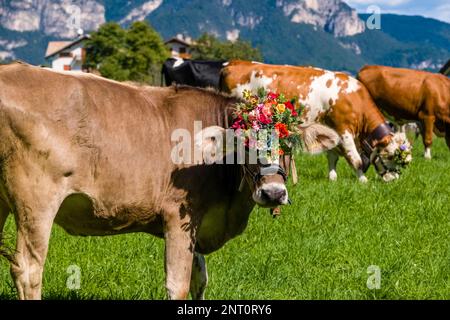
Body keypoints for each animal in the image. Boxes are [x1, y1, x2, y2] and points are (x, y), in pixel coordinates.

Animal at [0, 62, 338, 300]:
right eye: (244, 142)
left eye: (289, 144)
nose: (273, 193)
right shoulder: (179, 215)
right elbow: (178, 284)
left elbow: (199, 279)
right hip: (37, 200)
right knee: (29, 268)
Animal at [221, 60, 412, 182]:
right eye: (391, 156)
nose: (394, 179)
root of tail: (235, 63)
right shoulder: (344, 130)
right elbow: (355, 159)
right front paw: (363, 180)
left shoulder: (333, 130)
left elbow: (332, 156)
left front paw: (332, 178)